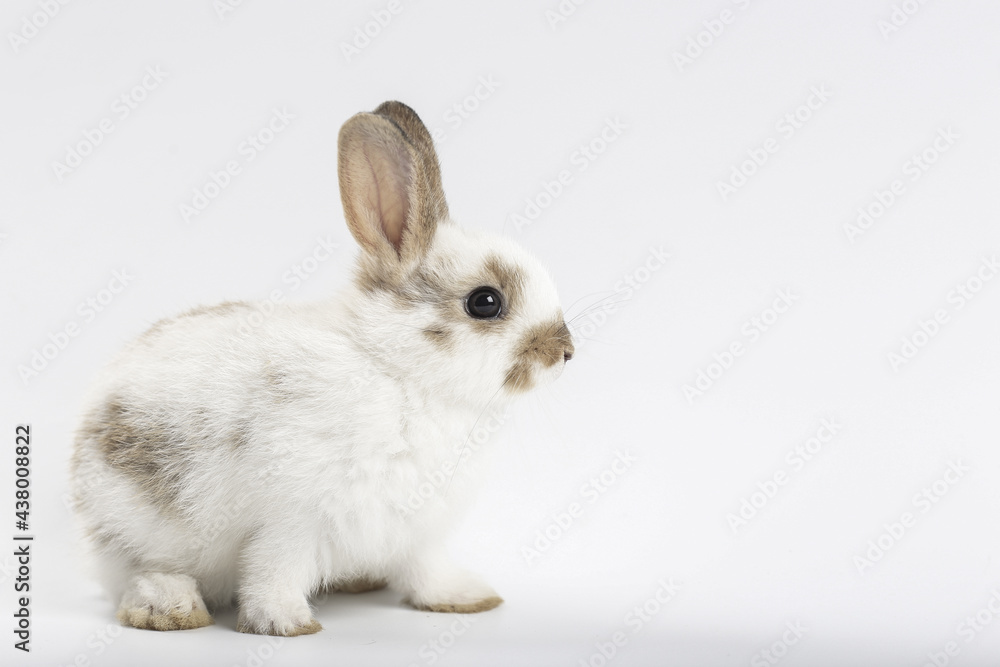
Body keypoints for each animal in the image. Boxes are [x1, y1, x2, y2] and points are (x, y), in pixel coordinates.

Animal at [70, 100, 576, 636]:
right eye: (485, 302)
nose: (565, 352)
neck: (399, 373)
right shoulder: (293, 520)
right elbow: (274, 572)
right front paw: (286, 624)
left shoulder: (418, 533)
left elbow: (426, 571)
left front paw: (467, 599)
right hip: (136, 529)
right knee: (138, 574)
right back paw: (170, 607)